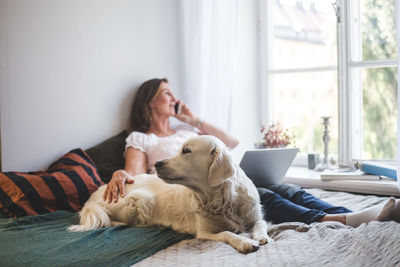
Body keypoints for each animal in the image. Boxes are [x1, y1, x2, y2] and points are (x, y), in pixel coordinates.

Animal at [69, 136, 272, 253]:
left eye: (186, 151)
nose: (157, 164)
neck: (221, 198)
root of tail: (91, 199)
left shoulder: (255, 215)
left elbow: (260, 223)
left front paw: (260, 236)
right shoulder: (204, 232)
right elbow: (227, 233)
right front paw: (244, 242)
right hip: (139, 200)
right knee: (112, 220)